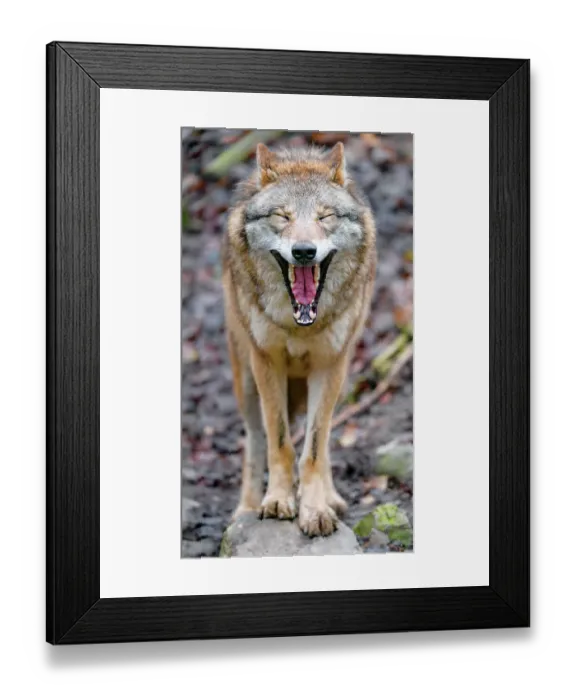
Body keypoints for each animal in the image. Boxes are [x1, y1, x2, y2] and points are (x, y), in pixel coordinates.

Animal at [221, 141, 377, 537]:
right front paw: (278, 501)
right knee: (254, 440)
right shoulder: (266, 362)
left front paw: (316, 509)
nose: (304, 251)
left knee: (323, 438)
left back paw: (332, 497)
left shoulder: (329, 364)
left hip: (341, 372)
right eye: (282, 216)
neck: (300, 323)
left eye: (325, 217)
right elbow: (279, 443)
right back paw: (245, 509)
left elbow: (314, 448)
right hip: (246, 380)